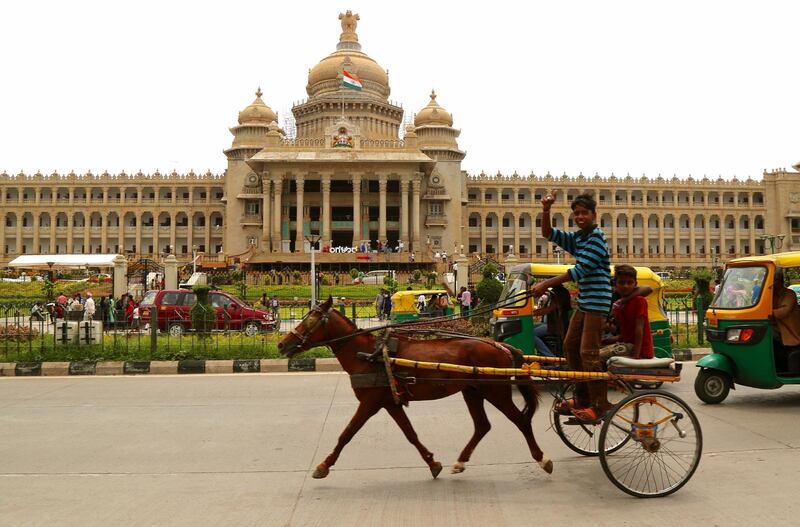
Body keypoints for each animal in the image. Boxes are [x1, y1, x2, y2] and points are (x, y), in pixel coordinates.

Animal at [276, 300, 552, 480]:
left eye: (310, 320)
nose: (281, 344)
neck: (367, 354)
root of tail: (502, 346)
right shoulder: (390, 401)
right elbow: (410, 433)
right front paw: (432, 462)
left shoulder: (370, 402)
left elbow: (347, 433)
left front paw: (324, 465)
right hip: (473, 390)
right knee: (483, 425)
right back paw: (460, 462)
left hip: (496, 391)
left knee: (520, 421)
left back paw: (542, 458)